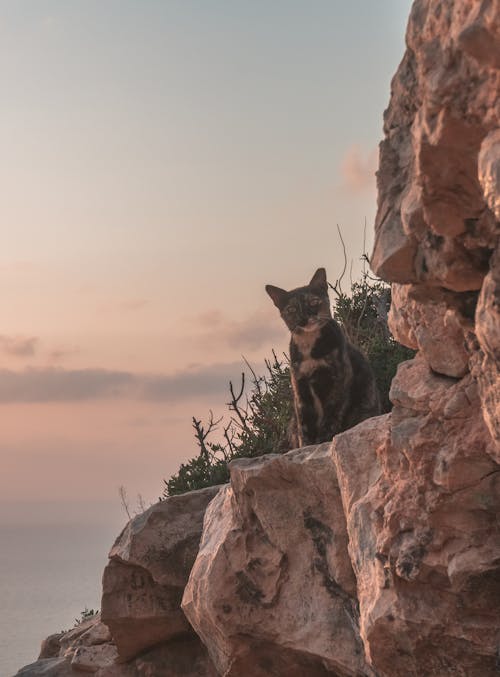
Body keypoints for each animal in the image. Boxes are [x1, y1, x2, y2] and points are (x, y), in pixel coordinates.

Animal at [266, 266, 378, 446]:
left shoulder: (338, 379)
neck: (309, 348)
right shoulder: (301, 388)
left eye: (313, 302)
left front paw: (323, 439)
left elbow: (331, 416)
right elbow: (305, 423)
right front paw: (307, 445)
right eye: (292, 310)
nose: (305, 317)